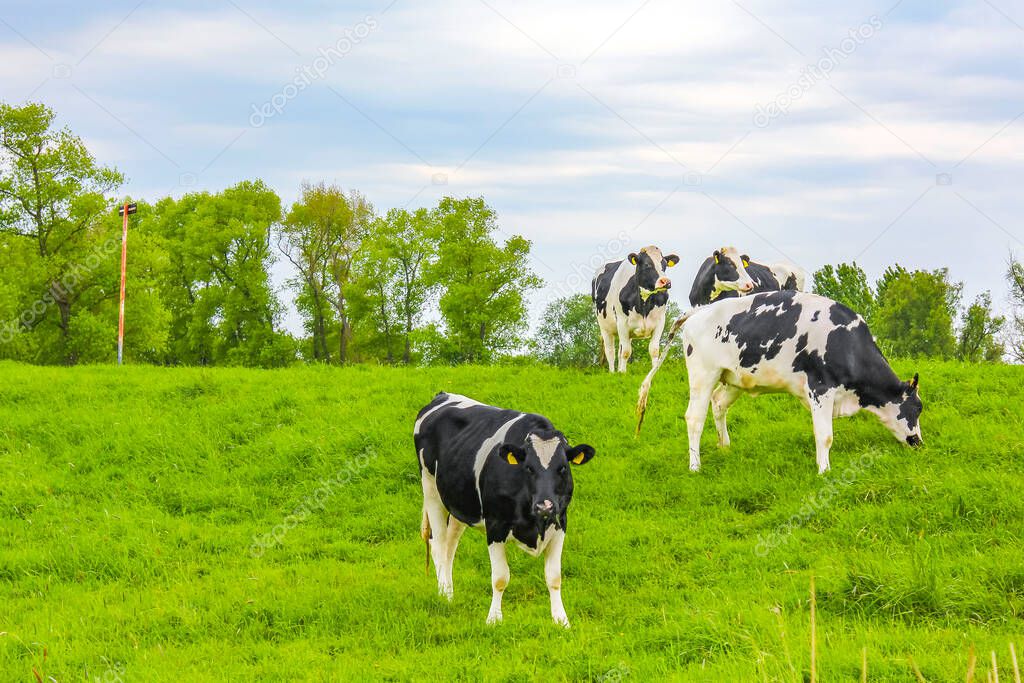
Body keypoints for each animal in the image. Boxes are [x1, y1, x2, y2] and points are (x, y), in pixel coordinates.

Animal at [411, 393, 598, 626]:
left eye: (562, 468)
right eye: (528, 468)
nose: (544, 505)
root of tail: (442, 395)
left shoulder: (560, 522)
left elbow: (554, 576)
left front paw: (561, 620)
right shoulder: (495, 526)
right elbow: (500, 577)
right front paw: (494, 619)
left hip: (459, 503)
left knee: (449, 547)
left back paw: (450, 592)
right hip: (431, 490)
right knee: (438, 546)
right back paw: (444, 595)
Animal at [593, 245, 679, 374]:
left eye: (664, 264)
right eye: (647, 264)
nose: (666, 282)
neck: (644, 304)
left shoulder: (660, 322)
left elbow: (654, 350)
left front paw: (653, 372)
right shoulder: (622, 323)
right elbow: (626, 352)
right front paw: (623, 374)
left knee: (619, 350)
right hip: (605, 327)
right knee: (610, 351)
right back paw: (613, 372)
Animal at [634, 290, 925, 475]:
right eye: (917, 408)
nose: (919, 443)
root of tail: (699, 311)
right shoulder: (820, 387)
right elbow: (825, 435)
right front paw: (824, 470)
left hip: (732, 379)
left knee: (718, 404)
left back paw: (725, 446)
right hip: (703, 374)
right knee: (694, 418)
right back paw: (695, 466)